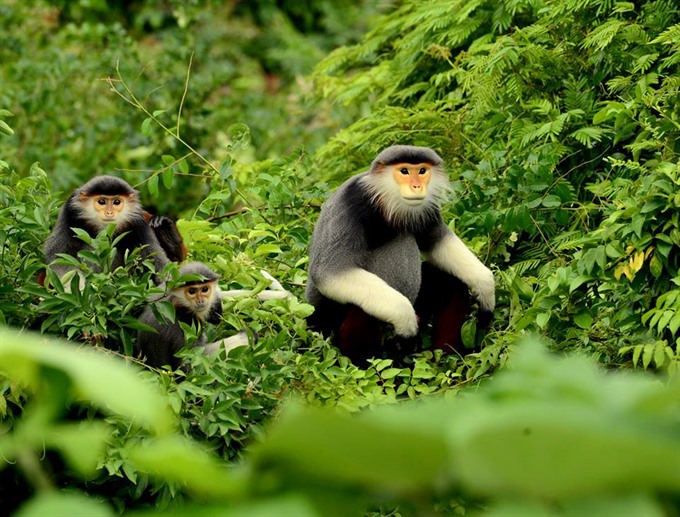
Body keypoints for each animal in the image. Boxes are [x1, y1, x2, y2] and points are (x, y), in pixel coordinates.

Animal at [306, 143, 494, 364]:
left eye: (422, 171)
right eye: (404, 171)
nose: (417, 186)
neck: (386, 203)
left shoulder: (425, 210)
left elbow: (436, 240)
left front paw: (486, 288)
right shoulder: (353, 203)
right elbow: (328, 272)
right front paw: (405, 320)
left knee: (451, 281)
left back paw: (447, 360)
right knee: (363, 310)